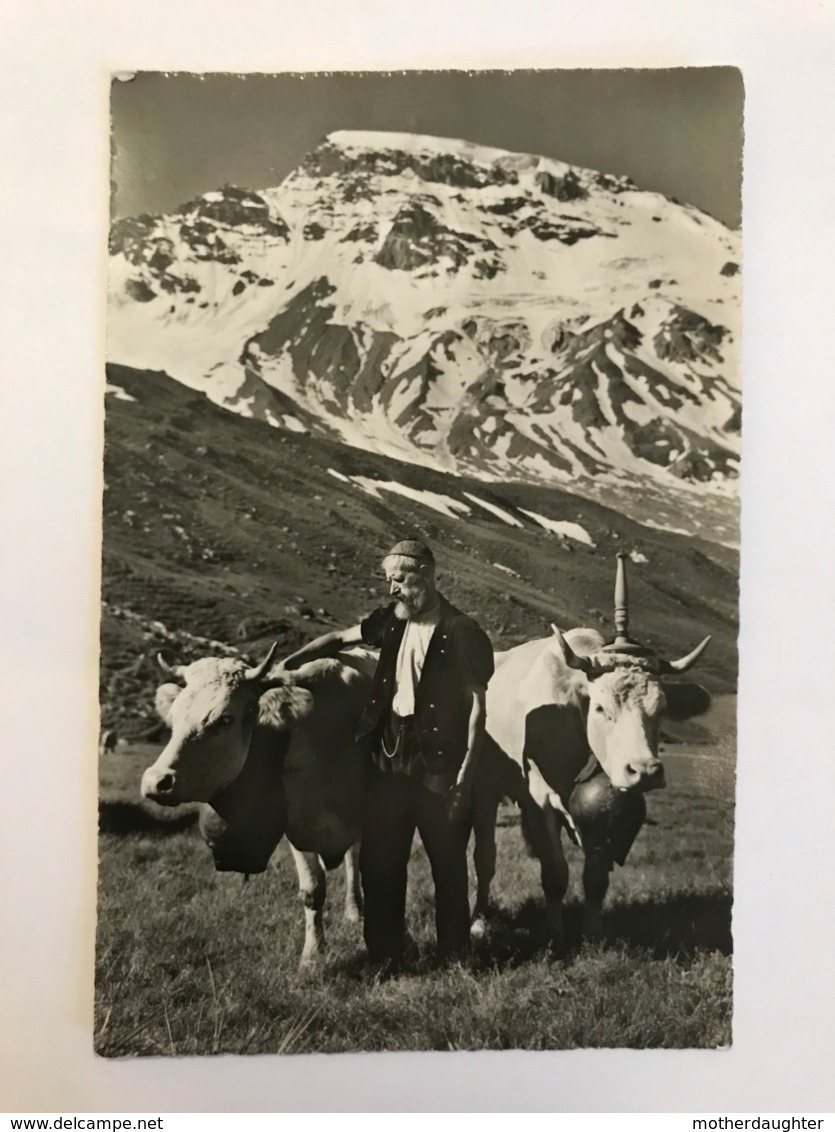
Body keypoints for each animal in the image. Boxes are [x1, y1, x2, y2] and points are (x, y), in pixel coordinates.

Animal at [139, 642, 373, 968]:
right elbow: (312, 891)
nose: (155, 781)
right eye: (174, 716)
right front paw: (312, 956)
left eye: (226, 718)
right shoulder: (297, 827)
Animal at [468, 620, 710, 946]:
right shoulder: (539, 798)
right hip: (485, 789)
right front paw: (554, 932)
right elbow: (555, 872)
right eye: (601, 708)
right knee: (485, 858)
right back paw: (479, 920)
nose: (645, 770)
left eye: (660, 709)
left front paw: (593, 932)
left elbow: (595, 877)